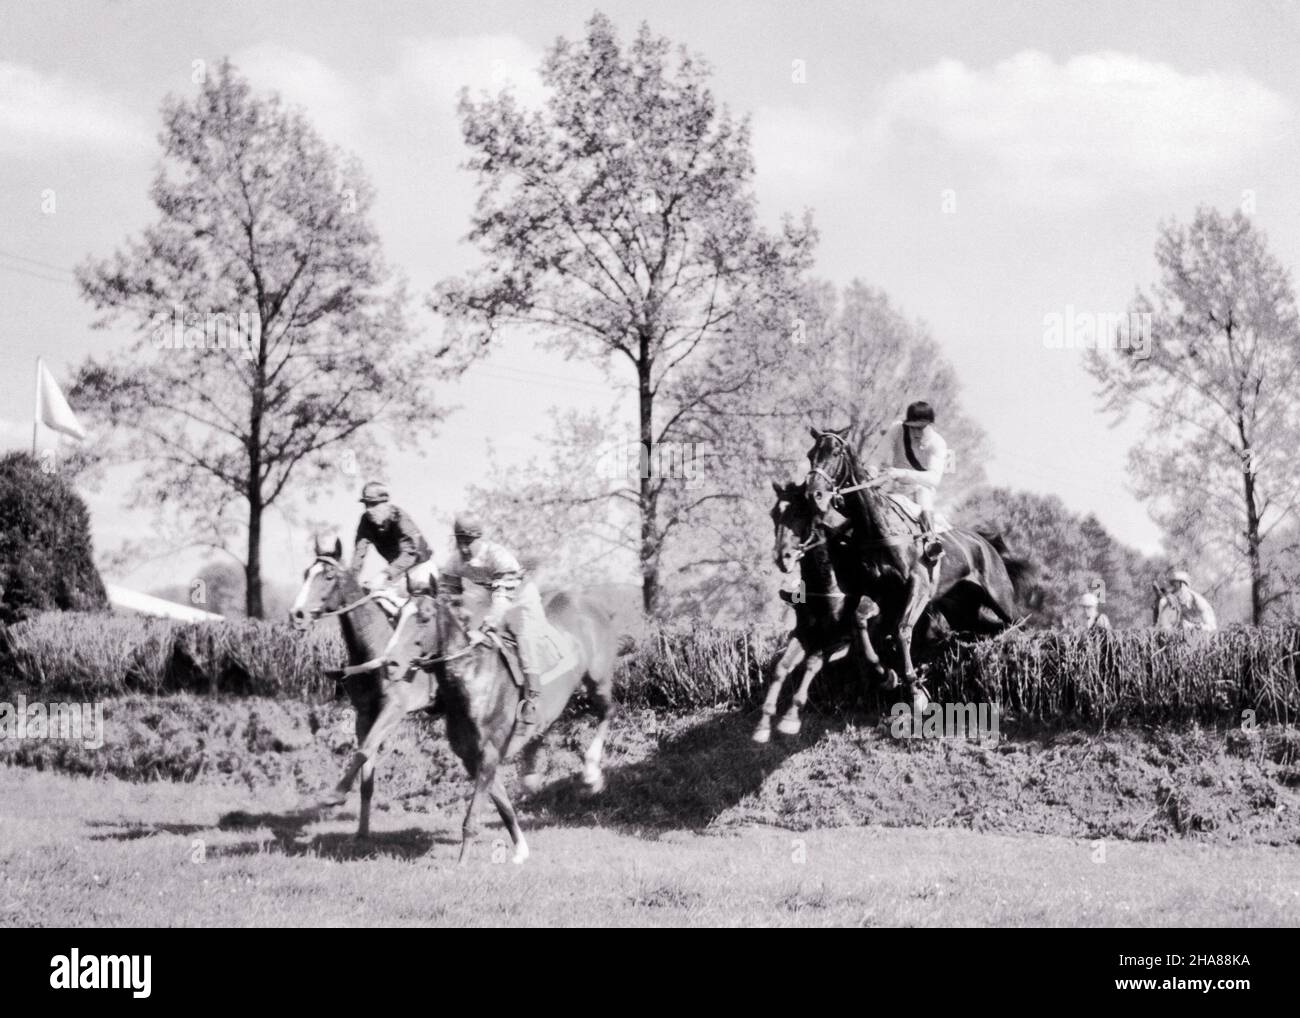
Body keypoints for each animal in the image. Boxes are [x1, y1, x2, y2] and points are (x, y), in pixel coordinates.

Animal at [289, 538, 436, 842]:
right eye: (306, 573)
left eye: (328, 576)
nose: (297, 615)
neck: (376, 646)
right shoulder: (365, 714)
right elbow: (366, 767)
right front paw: (361, 833)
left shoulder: (395, 709)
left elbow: (364, 751)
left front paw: (334, 795)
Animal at [382, 585, 621, 863]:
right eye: (395, 618)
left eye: (424, 618)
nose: (390, 663)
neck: (472, 679)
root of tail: (595, 605)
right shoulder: (472, 759)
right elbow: (504, 805)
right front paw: (521, 850)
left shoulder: (489, 754)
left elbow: (473, 817)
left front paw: (461, 864)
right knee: (547, 725)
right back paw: (531, 774)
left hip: (597, 679)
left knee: (608, 712)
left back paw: (591, 774)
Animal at [800, 426, 1024, 707]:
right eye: (811, 454)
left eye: (835, 452)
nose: (813, 494)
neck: (879, 526)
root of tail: (986, 543)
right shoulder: (881, 593)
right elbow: (860, 622)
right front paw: (886, 675)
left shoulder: (918, 587)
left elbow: (902, 630)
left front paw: (915, 691)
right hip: (960, 608)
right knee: (987, 627)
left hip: (999, 596)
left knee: (1018, 622)